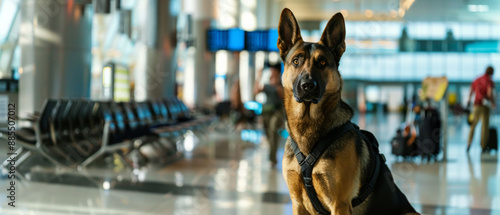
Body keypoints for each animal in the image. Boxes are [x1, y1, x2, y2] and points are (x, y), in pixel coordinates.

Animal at [280, 8, 420, 215]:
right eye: (296, 61)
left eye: (322, 63)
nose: (308, 86)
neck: (307, 125)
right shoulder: (297, 203)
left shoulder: (340, 204)